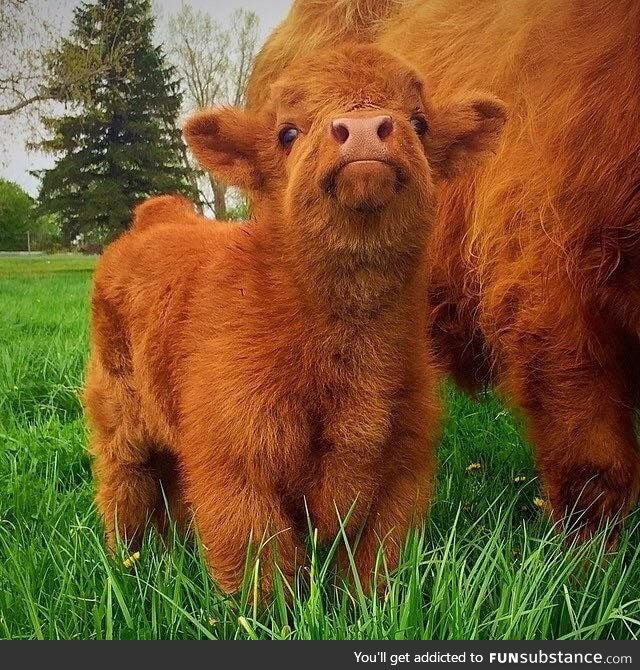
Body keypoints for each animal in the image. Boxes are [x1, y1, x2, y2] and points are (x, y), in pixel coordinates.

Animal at [85, 44, 504, 596]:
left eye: (420, 122)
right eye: (287, 133)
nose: (364, 128)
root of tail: (159, 216)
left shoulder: (403, 471)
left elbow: (373, 568)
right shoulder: (235, 467)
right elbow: (262, 573)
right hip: (119, 415)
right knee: (124, 486)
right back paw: (126, 563)